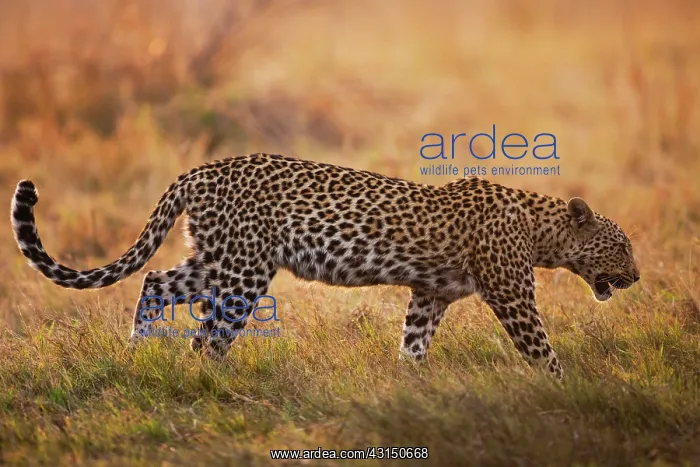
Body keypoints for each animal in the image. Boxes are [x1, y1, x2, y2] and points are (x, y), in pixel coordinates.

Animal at [11, 153, 640, 379]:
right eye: (623, 247)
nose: (637, 277)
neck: (541, 230)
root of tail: (200, 171)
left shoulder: (429, 294)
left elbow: (414, 343)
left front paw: (410, 385)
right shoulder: (511, 294)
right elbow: (541, 347)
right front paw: (566, 391)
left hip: (216, 258)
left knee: (156, 281)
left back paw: (140, 352)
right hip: (244, 270)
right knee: (211, 333)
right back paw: (212, 376)